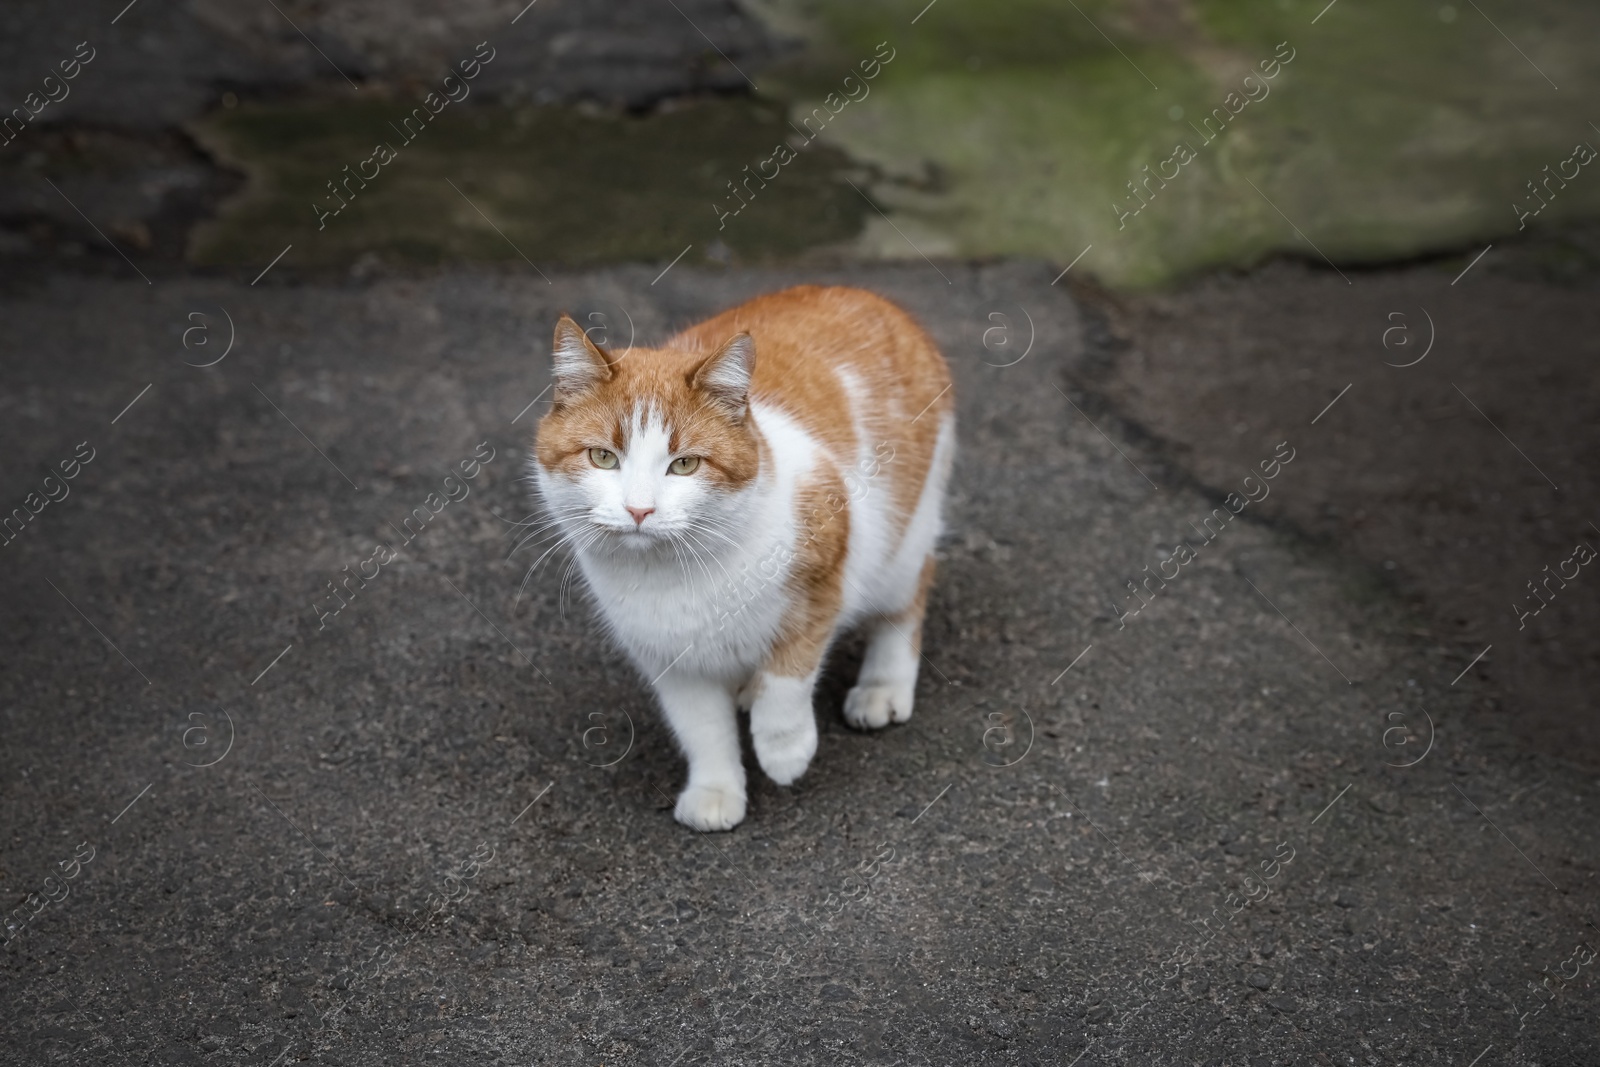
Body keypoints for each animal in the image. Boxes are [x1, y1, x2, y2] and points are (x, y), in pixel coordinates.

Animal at [531, 286, 953, 831]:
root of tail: (872, 296)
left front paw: (785, 749)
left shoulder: (824, 575)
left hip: (902, 542)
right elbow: (702, 729)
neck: (675, 574)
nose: (640, 509)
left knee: (906, 600)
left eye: (684, 464)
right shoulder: (669, 658)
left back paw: (882, 686)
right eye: (603, 457)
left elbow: (788, 677)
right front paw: (716, 789)